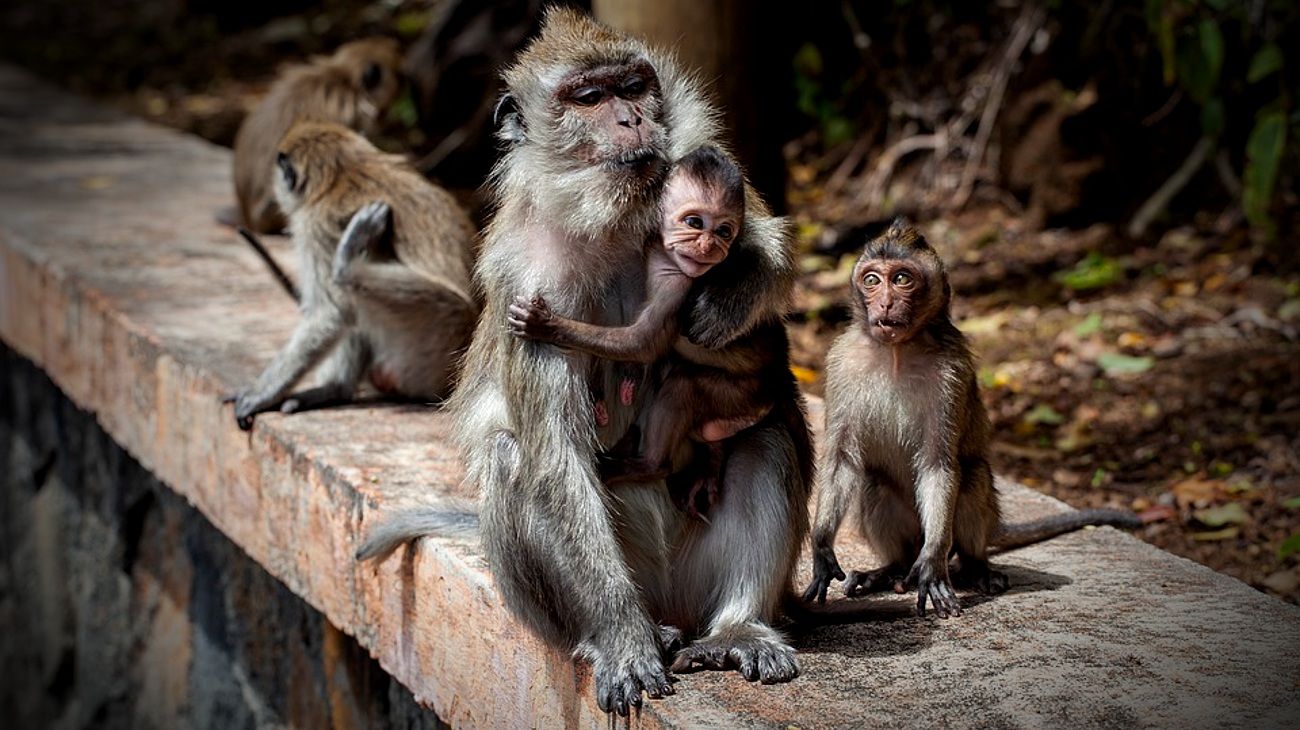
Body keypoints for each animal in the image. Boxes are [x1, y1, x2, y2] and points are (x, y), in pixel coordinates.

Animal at [227, 121, 478, 430]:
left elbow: (331, 313)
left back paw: (347, 266)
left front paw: (262, 394)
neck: (345, 170)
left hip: (434, 343)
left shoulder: (315, 225)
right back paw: (336, 389)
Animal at [506, 144, 771, 517]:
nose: (708, 247)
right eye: (694, 222)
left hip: (739, 395)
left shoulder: (677, 283)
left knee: (683, 387)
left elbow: (643, 342)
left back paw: (651, 465)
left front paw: (547, 326)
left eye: (724, 231)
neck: (662, 251)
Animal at [802, 219, 1143, 617]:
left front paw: (932, 565)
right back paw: (891, 570)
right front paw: (822, 547)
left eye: (902, 278)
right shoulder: (841, 362)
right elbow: (841, 459)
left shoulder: (953, 371)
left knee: (972, 476)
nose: (885, 302)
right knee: (874, 482)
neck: (897, 351)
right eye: (872, 280)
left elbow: (939, 463)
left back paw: (974, 567)